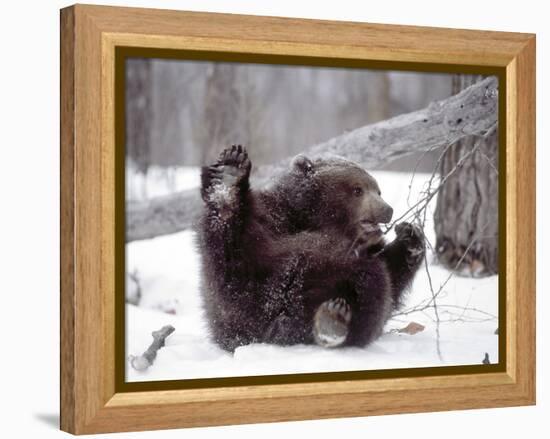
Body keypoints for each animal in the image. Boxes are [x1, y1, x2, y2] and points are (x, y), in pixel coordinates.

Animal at [198, 146, 426, 352]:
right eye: (357, 189)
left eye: (378, 190)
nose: (387, 209)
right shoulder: (272, 218)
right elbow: (232, 263)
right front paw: (229, 174)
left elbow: (392, 280)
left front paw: (411, 238)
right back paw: (228, 180)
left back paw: (332, 320)